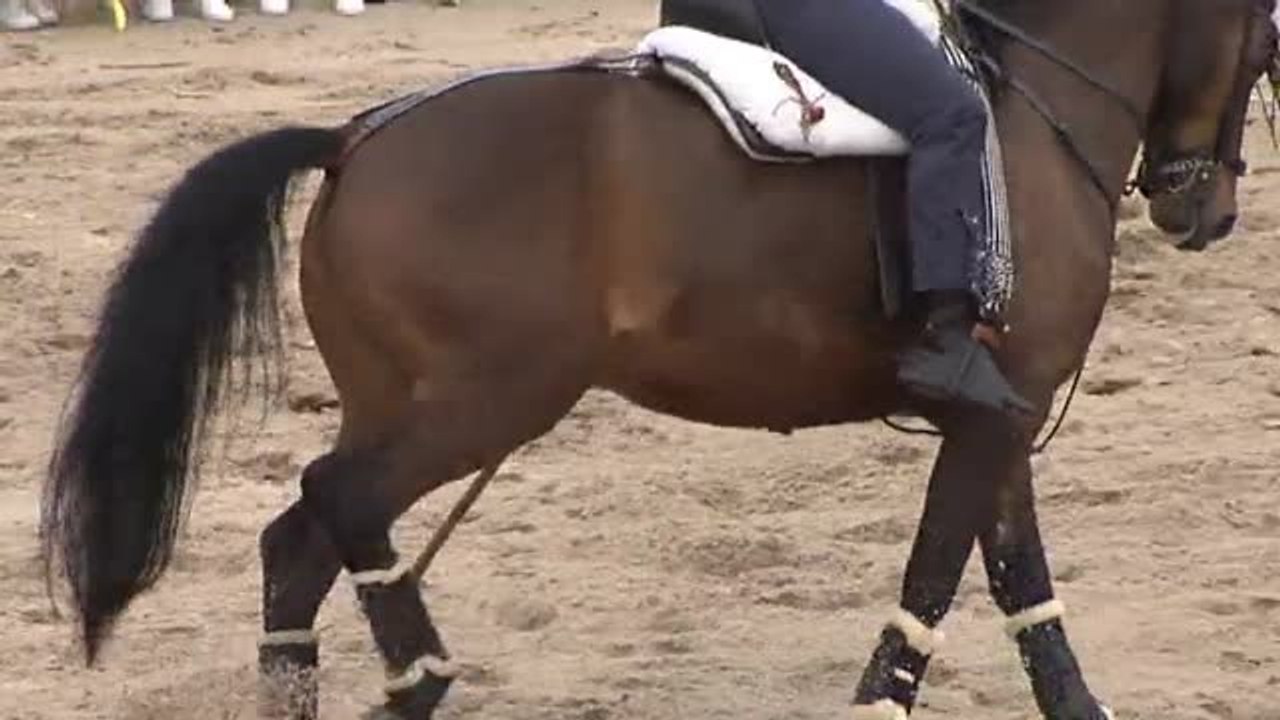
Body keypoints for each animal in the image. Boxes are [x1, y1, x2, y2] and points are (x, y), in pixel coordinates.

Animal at [38, 1, 1278, 718]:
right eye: (1266, 41)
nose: (1202, 211)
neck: (1026, 110)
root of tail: (356, 138)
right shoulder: (989, 411)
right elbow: (936, 569)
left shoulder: (999, 405)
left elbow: (1015, 576)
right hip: (486, 402)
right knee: (335, 502)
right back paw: (421, 676)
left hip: (405, 402)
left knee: (299, 541)